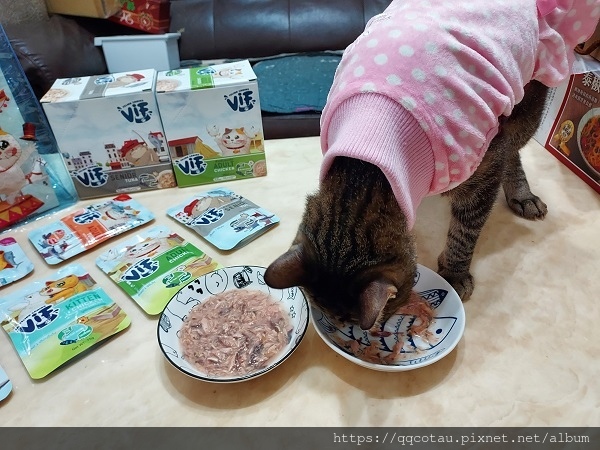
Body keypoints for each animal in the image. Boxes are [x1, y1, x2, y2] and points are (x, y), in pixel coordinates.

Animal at [264, 81, 552, 330]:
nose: (345, 328)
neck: (365, 170)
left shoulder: (484, 172)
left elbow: (465, 231)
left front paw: (455, 272)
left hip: (526, 109)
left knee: (513, 148)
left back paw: (523, 195)